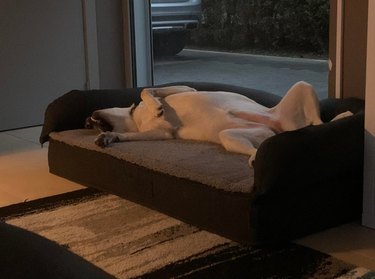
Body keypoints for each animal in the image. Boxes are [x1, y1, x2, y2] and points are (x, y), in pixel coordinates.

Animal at [85, 82, 352, 166]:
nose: (87, 122)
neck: (135, 119)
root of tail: (282, 129)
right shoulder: (161, 133)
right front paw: (109, 138)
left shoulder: (184, 88)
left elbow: (146, 90)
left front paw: (157, 106)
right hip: (232, 137)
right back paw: (254, 157)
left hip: (302, 86)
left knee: (319, 122)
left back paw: (345, 115)